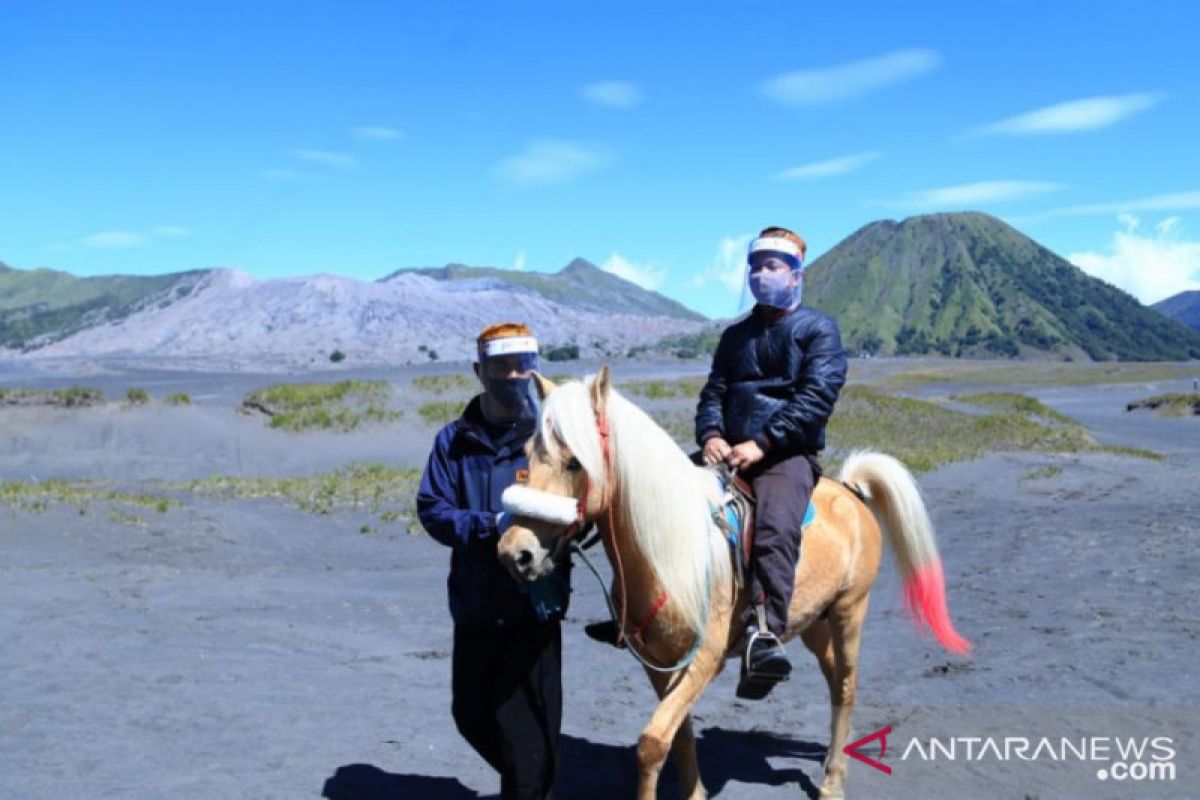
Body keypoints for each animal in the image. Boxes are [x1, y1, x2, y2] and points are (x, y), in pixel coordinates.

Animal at [492, 371, 969, 800]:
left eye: (575, 461)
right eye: (526, 455)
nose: (516, 552)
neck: (671, 551)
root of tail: (851, 490)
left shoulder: (705, 659)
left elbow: (652, 743)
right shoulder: (658, 663)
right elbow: (678, 735)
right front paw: (695, 793)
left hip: (850, 610)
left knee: (847, 685)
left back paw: (833, 783)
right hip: (813, 622)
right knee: (835, 678)